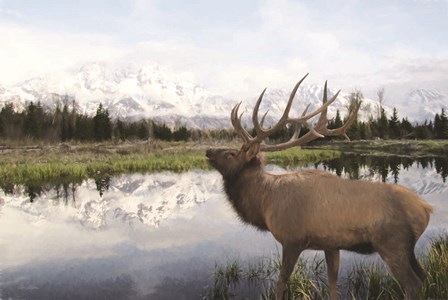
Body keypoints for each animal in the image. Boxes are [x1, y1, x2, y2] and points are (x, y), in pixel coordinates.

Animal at [205, 73, 432, 300]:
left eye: (231, 154)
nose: (208, 150)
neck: (264, 203)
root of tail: (426, 209)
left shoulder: (292, 240)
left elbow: (281, 281)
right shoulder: (331, 245)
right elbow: (332, 282)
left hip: (392, 243)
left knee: (413, 283)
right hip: (408, 249)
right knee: (424, 275)